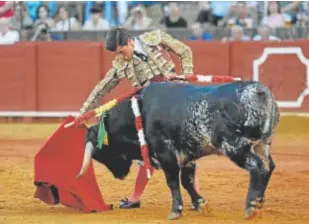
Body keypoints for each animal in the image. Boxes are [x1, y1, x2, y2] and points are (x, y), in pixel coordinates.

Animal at [75, 80, 280, 220]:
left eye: (100, 153)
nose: (120, 176)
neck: (138, 112)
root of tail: (259, 91)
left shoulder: (165, 152)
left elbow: (173, 181)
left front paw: (176, 211)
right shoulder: (187, 155)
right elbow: (187, 181)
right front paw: (200, 204)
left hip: (235, 146)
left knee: (257, 167)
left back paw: (251, 206)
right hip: (263, 143)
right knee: (268, 166)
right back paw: (259, 201)